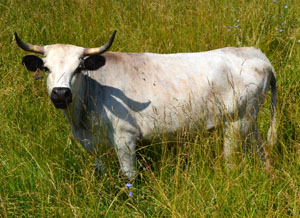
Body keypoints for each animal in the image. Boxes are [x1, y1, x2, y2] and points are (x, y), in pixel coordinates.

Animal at [14, 30, 276, 178]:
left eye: (79, 68)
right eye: (46, 68)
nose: (60, 93)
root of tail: (256, 54)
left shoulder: (125, 138)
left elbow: (129, 177)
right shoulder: (95, 146)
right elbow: (101, 172)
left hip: (237, 124)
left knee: (232, 162)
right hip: (250, 123)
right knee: (262, 151)